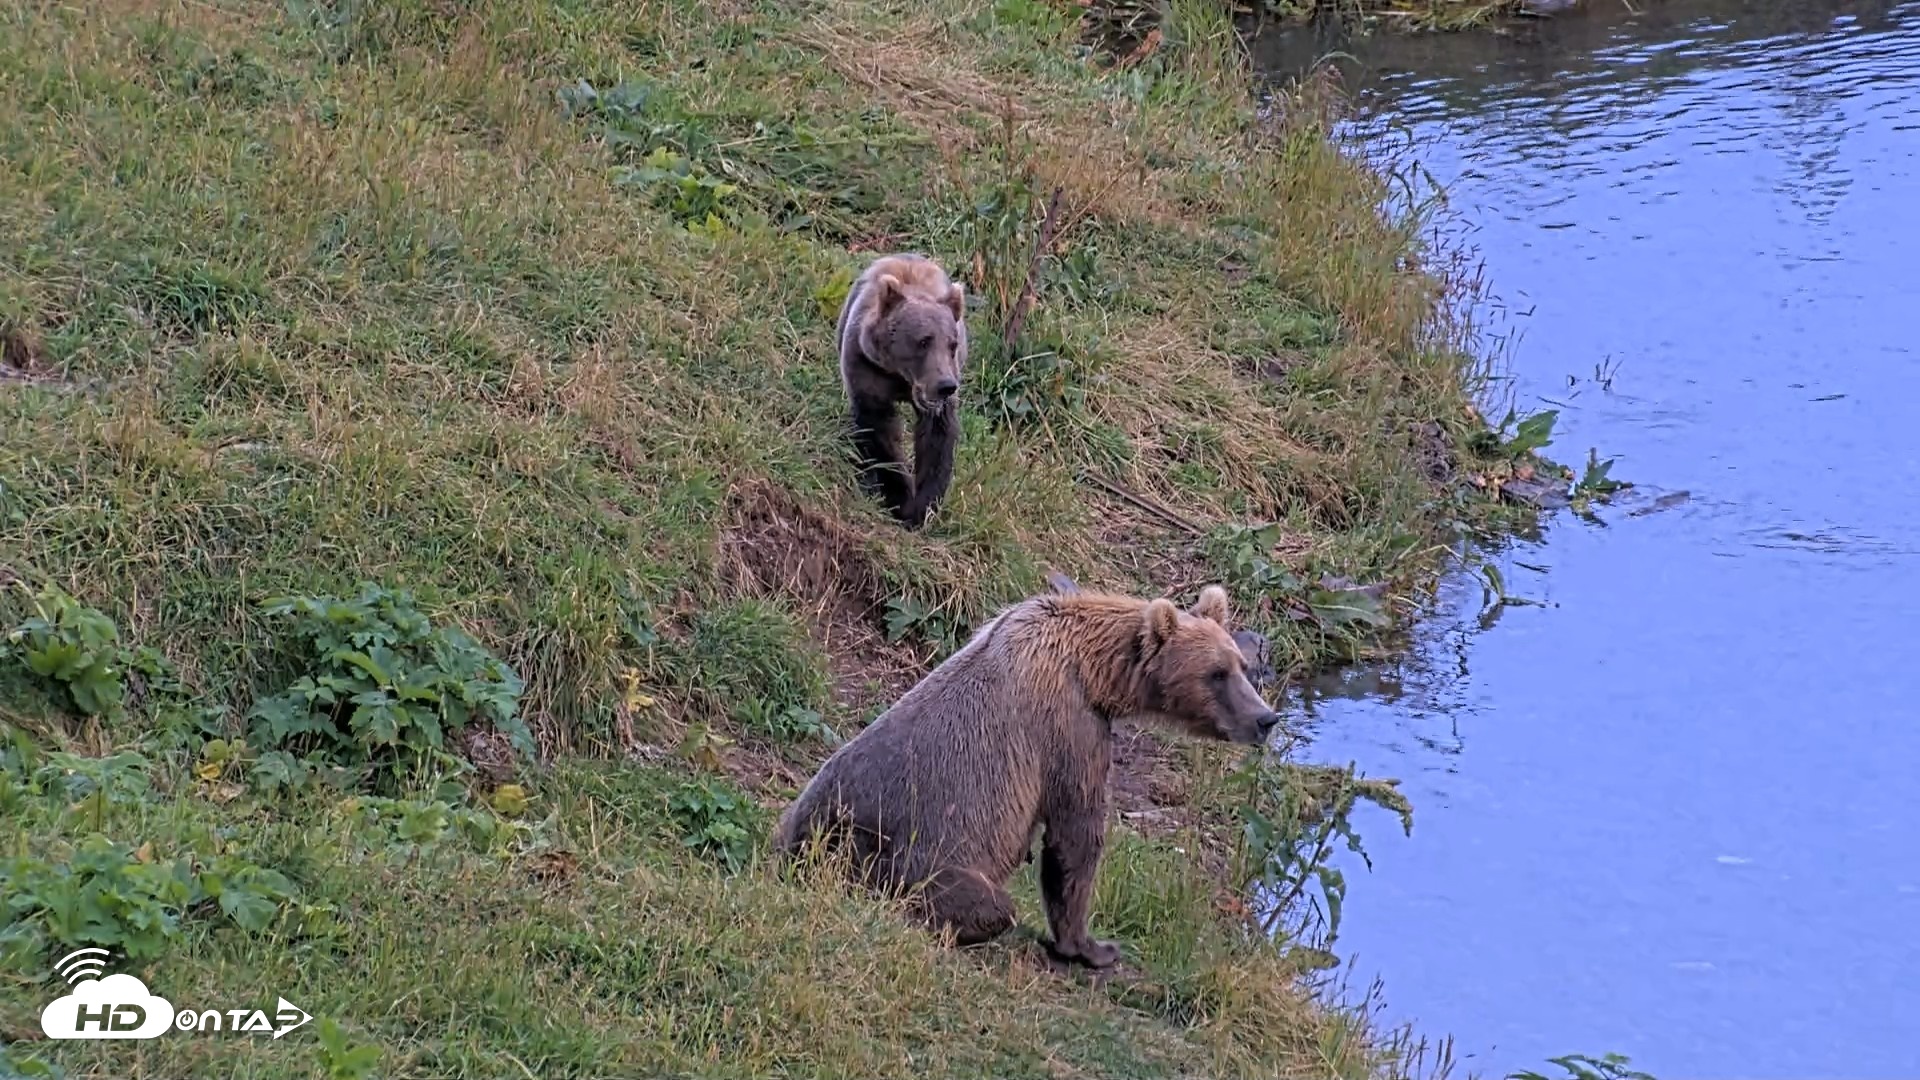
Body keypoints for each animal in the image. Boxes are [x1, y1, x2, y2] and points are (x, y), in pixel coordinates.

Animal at [772, 583, 1280, 968]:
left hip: (805, 821)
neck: (1093, 671)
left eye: (1240, 665)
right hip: (897, 852)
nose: (1266, 718)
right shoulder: (1067, 724)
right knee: (986, 904)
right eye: (1216, 673)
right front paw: (1092, 947)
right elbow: (1075, 834)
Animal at [833, 252, 968, 530]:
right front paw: (899, 497)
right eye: (924, 340)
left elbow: (937, 439)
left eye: (952, 345)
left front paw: (923, 507)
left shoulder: (939, 401)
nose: (945, 386)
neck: (901, 377)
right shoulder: (867, 367)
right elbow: (881, 429)